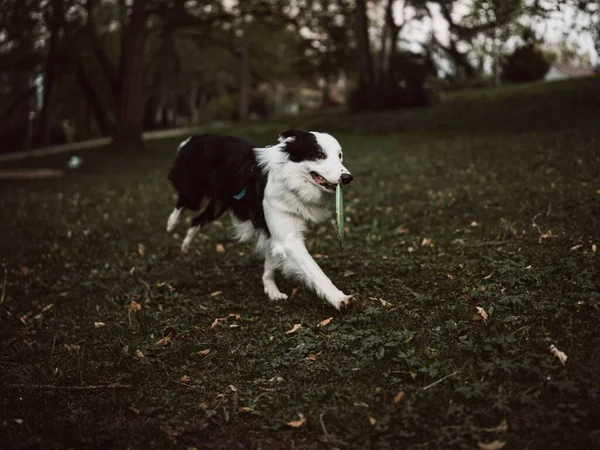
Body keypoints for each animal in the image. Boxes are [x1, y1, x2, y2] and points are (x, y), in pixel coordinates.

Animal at [166, 129, 354, 310]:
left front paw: (271, 289)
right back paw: (171, 224)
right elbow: (315, 270)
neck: (290, 179)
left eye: (340, 155)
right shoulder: (288, 239)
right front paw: (339, 298)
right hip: (194, 194)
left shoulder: (273, 233)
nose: (347, 178)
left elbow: (270, 262)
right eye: (319, 155)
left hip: (217, 205)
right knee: (182, 203)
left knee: (196, 220)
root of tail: (192, 139)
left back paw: (185, 245)